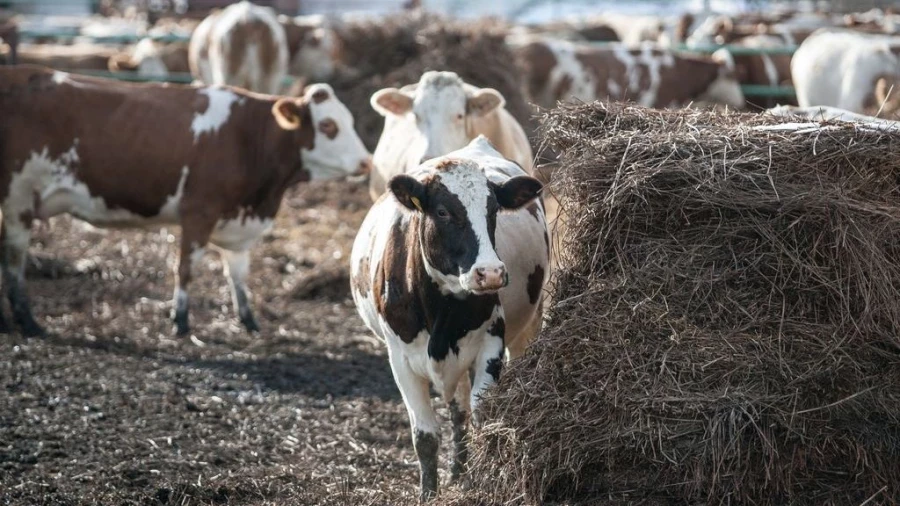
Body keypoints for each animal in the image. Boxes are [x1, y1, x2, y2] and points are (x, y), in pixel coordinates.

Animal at [0, 66, 372, 336]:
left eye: (351, 121)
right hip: (18, 198)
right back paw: (28, 322)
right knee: (15, 261)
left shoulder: (238, 222)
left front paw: (248, 321)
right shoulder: (198, 211)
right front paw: (179, 322)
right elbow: (186, 269)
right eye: (328, 126)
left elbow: (238, 275)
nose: (367, 162)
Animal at [350, 136, 548, 500]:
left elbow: (483, 417)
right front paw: (429, 494)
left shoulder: (490, 342)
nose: (490, 272)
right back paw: (457, 473)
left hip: (528, 326)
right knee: (458, 412)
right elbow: (426, 436)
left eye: (493, 210)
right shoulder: (400, 359)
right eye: (442, 212)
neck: (442, 309)